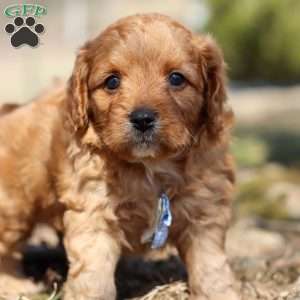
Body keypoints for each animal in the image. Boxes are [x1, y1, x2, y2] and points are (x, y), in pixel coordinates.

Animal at [0, 12, 240, 298]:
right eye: (112, 82)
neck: (149, 167)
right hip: (14, 204)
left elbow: (209, 263)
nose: (143, 118)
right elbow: (93, 275)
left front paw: (219, 292)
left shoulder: (206, 208)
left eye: (177, 78)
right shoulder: (94, 210)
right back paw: (15, 285)